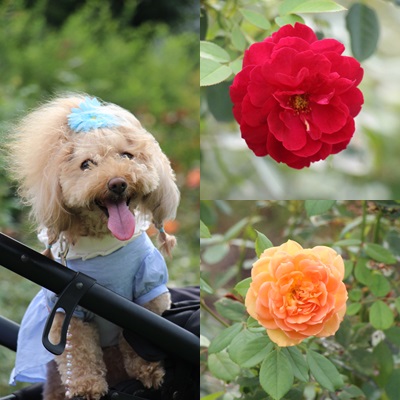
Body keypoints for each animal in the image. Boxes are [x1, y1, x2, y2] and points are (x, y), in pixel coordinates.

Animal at [8, 94, 180, 400]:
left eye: (127, 156)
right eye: (86, 164)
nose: (118, 183)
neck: (104, 243)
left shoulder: (149, 290)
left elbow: (138, 335)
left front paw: (149, 372)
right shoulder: (66, 307)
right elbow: (78, 349)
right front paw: (86, 387)